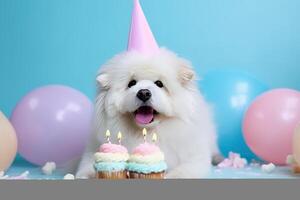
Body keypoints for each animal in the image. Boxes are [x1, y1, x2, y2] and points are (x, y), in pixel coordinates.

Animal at [76, 48, 217, 178]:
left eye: (159, 83)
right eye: (131, 83)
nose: (143, 93)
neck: (147, 132)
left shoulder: (194, 159)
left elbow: (180, 172)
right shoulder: (92, 150)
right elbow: (87, 167)